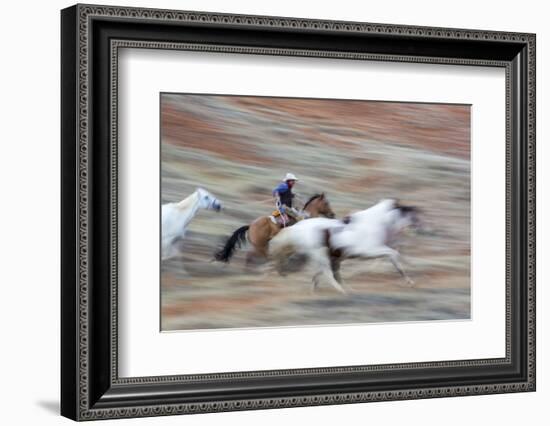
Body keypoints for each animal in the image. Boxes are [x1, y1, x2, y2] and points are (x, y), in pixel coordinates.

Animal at [270, 199, 420, 292]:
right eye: (409, 214)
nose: (418, 229)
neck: (375, 223)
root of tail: (297, 227)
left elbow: (394, 257)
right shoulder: (370, 251)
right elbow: (394, 255)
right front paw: (410, 280)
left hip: (326, 257)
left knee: (327, 272)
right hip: (320, 254)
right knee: (328, 273)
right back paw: (343, 291)